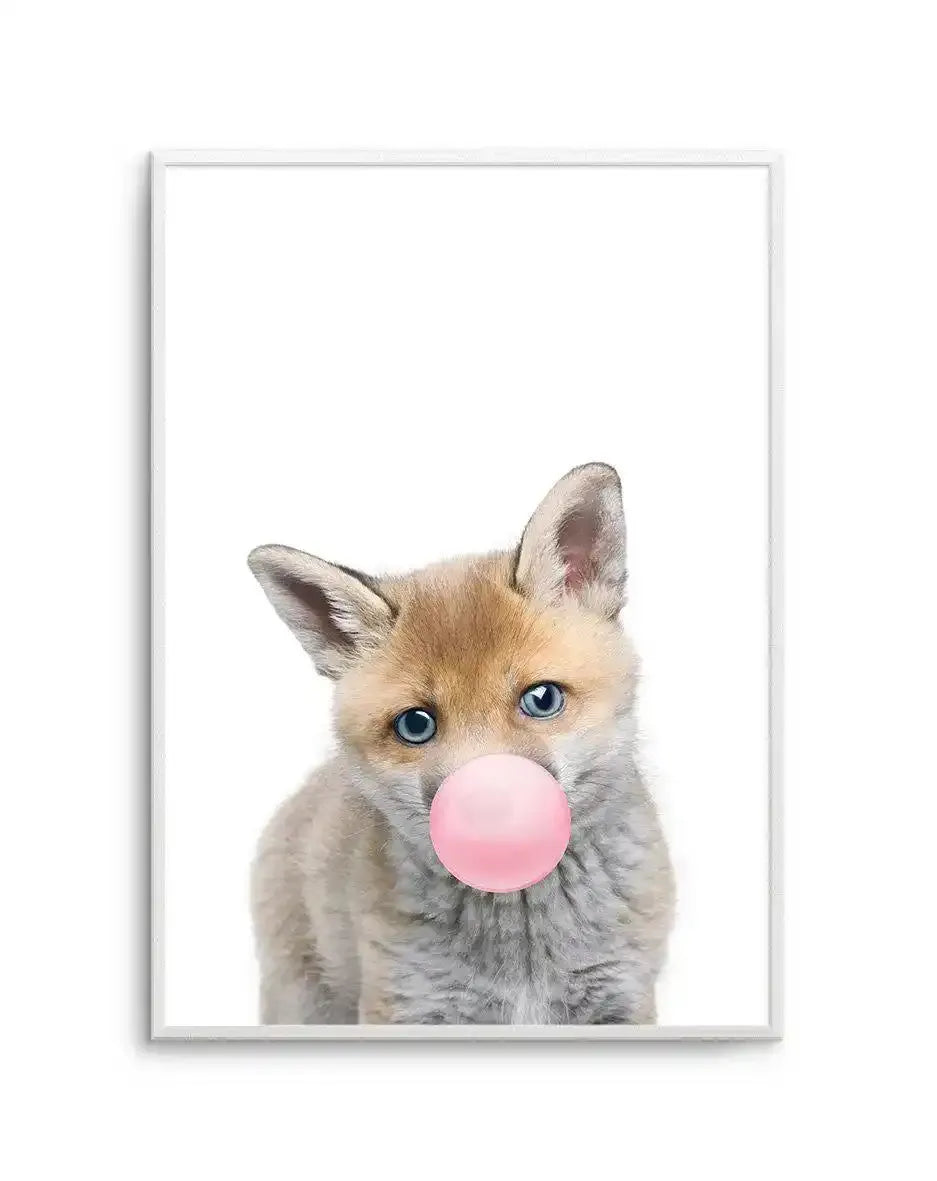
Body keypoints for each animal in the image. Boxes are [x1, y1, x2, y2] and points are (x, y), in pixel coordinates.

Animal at [247, 462, 674, 1025]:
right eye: (416, 725)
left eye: (541, 699)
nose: (487, 812)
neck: (524, 958)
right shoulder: (408, 1003)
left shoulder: (621, 996)